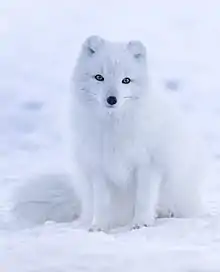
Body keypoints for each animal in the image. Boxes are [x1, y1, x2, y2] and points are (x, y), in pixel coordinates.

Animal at [71, 35, 207, 232]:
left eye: (126, 80)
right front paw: (99, 227)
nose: (111, 99)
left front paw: (141, 223)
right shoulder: (99, 168)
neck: (115, 127)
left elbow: (144, 198)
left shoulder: (148, 164)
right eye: (99, 77)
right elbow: (102, 202)